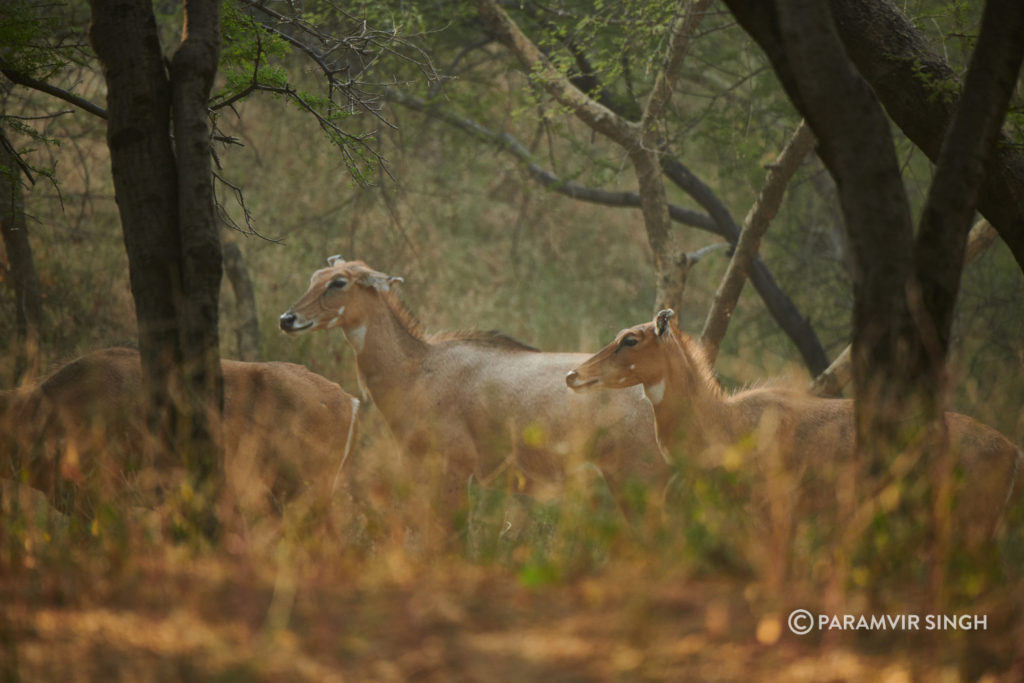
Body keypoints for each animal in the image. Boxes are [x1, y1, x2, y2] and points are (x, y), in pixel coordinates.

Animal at [280, 255, 663, 511]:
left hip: (636, 477)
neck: (416, 369)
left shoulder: (454, 471)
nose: (287, 319)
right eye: (315, 276)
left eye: (339, 282)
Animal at [569, 309, 1024, 544]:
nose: (573, 374)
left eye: (630, 339)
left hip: (972, 520)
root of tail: (1012, 451)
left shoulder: (773, 511)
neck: (725, 428)